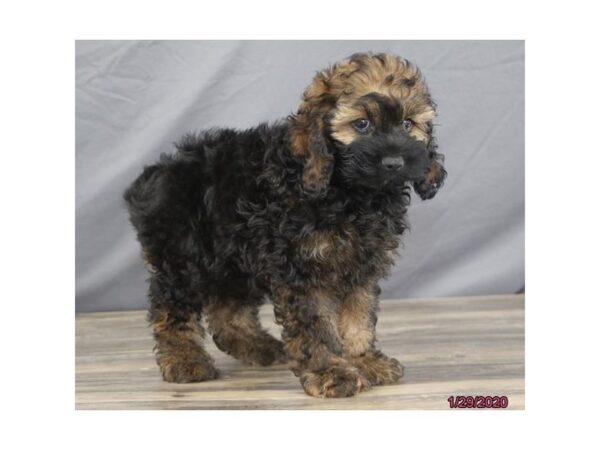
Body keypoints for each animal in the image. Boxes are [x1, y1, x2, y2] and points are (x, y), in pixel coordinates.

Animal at [124, 52, 448, 398]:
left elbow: (358, 317)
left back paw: (258, 347)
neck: (349, 193)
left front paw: (365, 359)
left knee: (228, 313)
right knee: (171, 308)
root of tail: (154, 175)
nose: (394, 163)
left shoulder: (361, 266)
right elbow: (315, 325)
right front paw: (330, 372)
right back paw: (184, 361)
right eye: (362, 124)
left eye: (407, 124)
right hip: (183, 257)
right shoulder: (301, 268)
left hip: (235, 256)